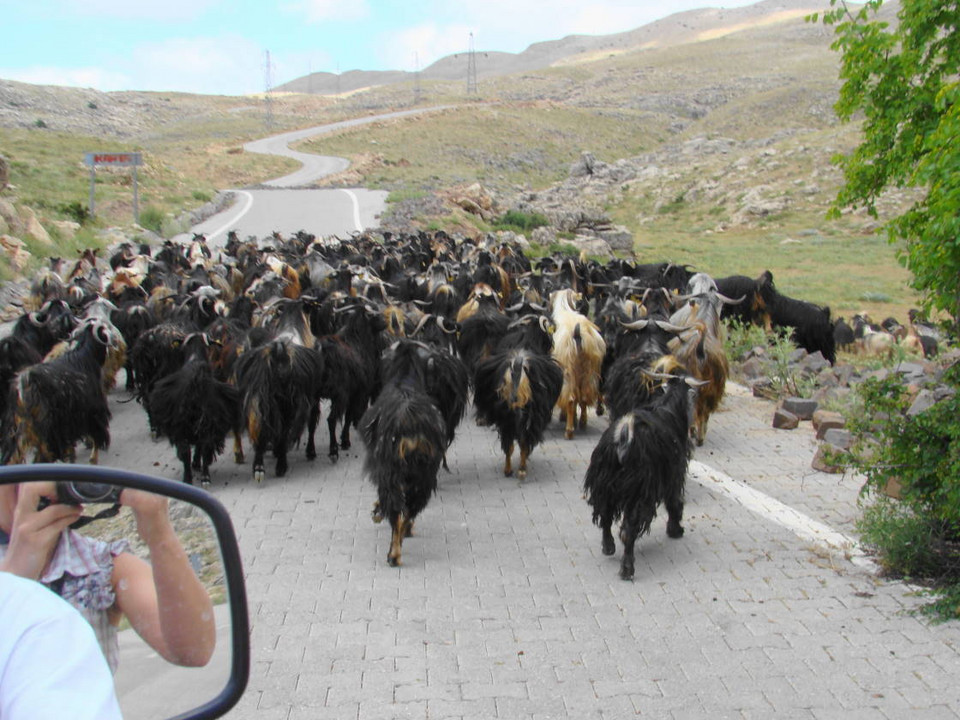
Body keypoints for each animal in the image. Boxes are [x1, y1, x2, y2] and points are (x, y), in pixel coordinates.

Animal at [360, 338, 450, 568]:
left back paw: (393, 553)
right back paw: (404, 534)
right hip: (425, 476)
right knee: (411, 508)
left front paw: (376, 511)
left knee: (395, 509)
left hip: (391, 471)